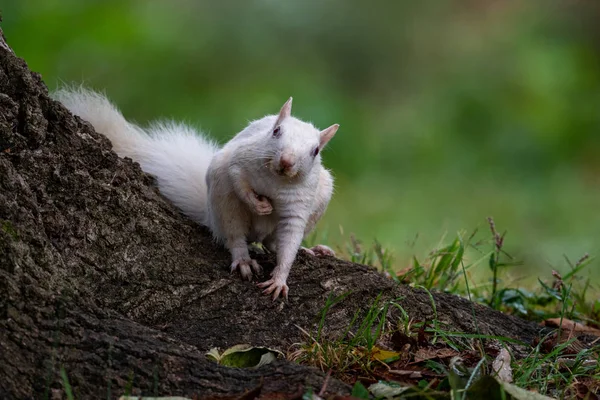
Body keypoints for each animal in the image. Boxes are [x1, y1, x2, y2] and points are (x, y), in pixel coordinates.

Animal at [54, 87, 340, 300]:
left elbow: (290, 239)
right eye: (276, 131)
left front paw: (280, 279)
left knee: (272, 243)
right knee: (234, 236)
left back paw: (308, 250)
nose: (287, 162)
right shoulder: (239, 159)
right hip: (223, 202)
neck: (276, 181)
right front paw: (258, 204)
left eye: (315, 151)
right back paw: (243, 259)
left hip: (321, 195)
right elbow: (239, 180)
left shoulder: (299, 204)